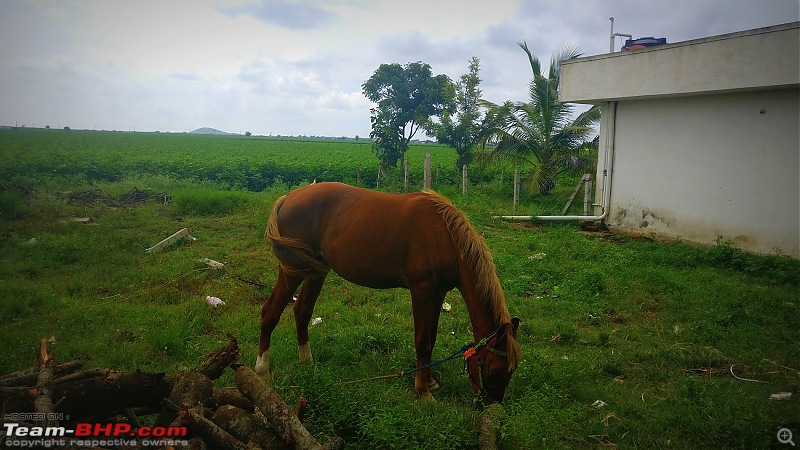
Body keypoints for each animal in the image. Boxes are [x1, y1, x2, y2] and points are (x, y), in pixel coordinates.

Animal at [253, 181, 520, 402]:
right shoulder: (421, 291)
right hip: (293, 273)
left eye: (512, 370)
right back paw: (262, 369)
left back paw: (307, 362)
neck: (445, 237)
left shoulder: (438, 294)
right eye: (495, 370)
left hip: (315, 272)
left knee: (302, 311)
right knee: (270, 312)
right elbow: (422, 341)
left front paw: (430, 381)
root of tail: (288, 197)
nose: (492, 403)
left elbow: (432, 338)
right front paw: (423, 392)